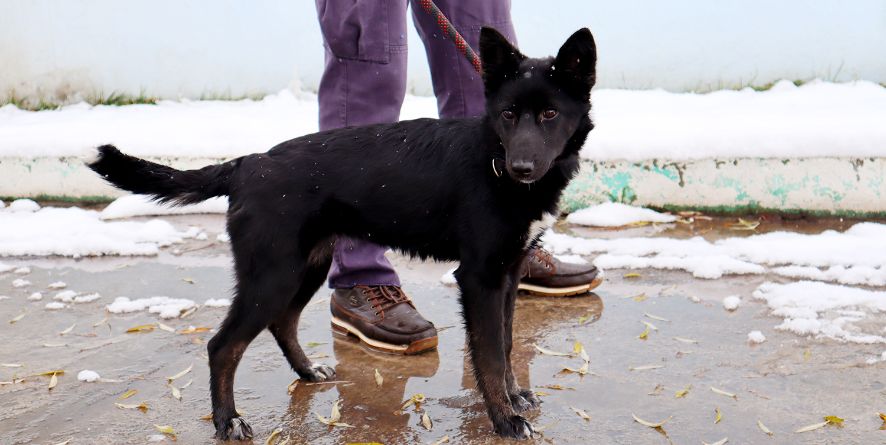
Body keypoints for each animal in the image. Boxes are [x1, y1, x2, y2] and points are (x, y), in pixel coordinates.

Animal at [88, 28, 596, 440]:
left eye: (549, 114)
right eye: (508, 114)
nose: (521, 168)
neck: (493, 157)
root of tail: (247, 163)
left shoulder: (507, 276)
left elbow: (506, 346)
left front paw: (515, 397)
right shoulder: (480, 279)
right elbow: (489, 356)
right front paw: (505, 419)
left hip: (304, 267)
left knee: (282, 322)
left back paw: (307, 371)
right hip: (272, 275)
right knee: (223, 346)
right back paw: (227, 421)